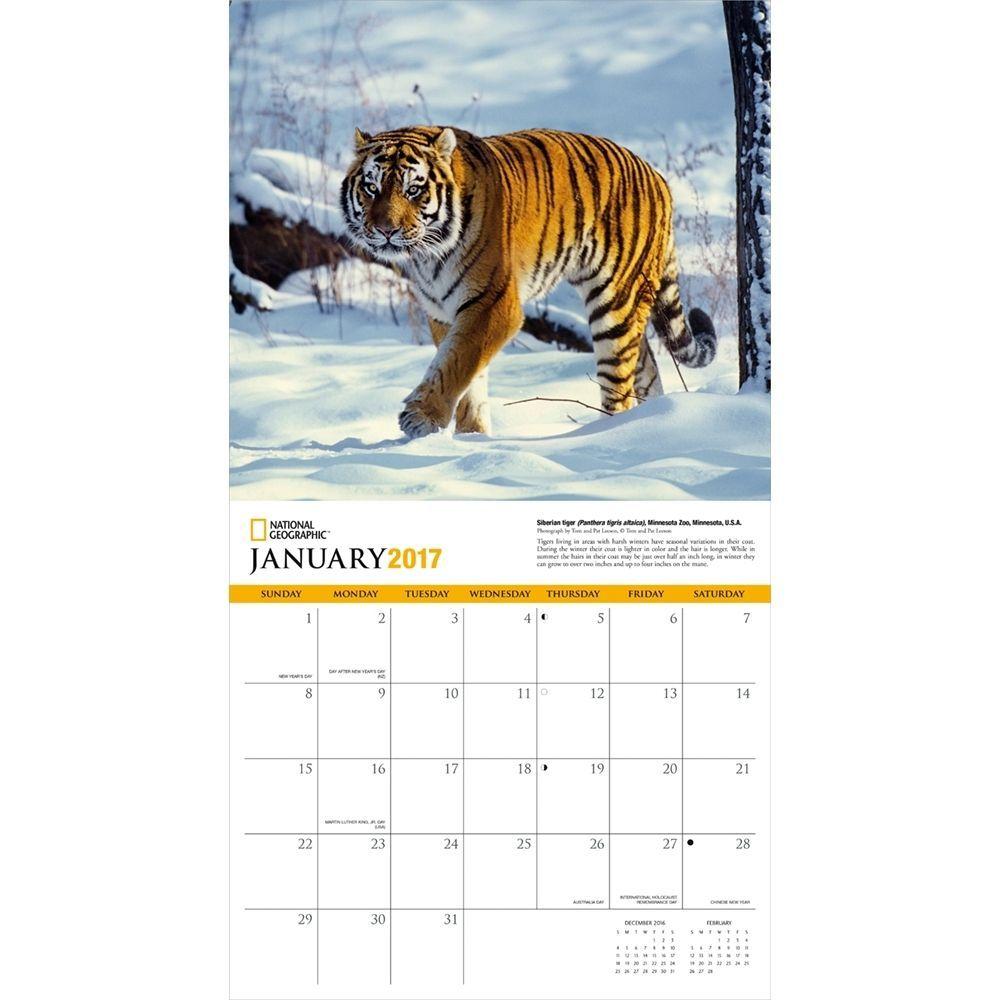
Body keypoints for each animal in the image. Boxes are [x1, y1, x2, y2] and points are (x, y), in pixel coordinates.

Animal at [341, 125, 716, 438]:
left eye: (414, 190)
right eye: (371, 188)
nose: (386, 231)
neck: (428, 255)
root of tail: (657, 176)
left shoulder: (492, 303)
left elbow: (456, 362)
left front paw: (421, 418)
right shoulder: (442, 311)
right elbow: (465, 373)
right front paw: (472, 437)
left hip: (615, 303)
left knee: (618, 385)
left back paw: (606, 434)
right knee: (647, 366)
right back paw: (654, 419)